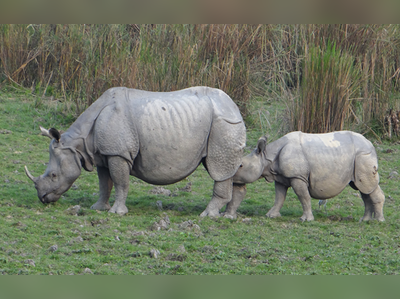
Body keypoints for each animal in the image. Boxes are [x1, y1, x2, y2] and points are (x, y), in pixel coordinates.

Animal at [25, 86, 245, 216]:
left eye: (54, 175)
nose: (43, 198)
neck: (77, 143)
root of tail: (236, 108)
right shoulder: (103, 153)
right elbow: (104, 183)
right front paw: (98, 208)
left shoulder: (118, 153)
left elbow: (120, 182)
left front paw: (117, 212)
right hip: (222, 124)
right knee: (226, 170)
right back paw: (227, 215)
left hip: (225, 125)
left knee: (219, 169)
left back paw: (207, 216)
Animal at [228, 132, 384, 223]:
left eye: (241, 165)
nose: (231, 177)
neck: (267, 156)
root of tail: (371, 144)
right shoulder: (280, 177)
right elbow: (279, 197)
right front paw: (271, 216)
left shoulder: (297, 176)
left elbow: (303, 197)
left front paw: (306, 219)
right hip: (358, 158)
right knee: (362, 188)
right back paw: (364, 220)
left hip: (363, 155)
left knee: (367, 187)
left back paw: (378, 221)